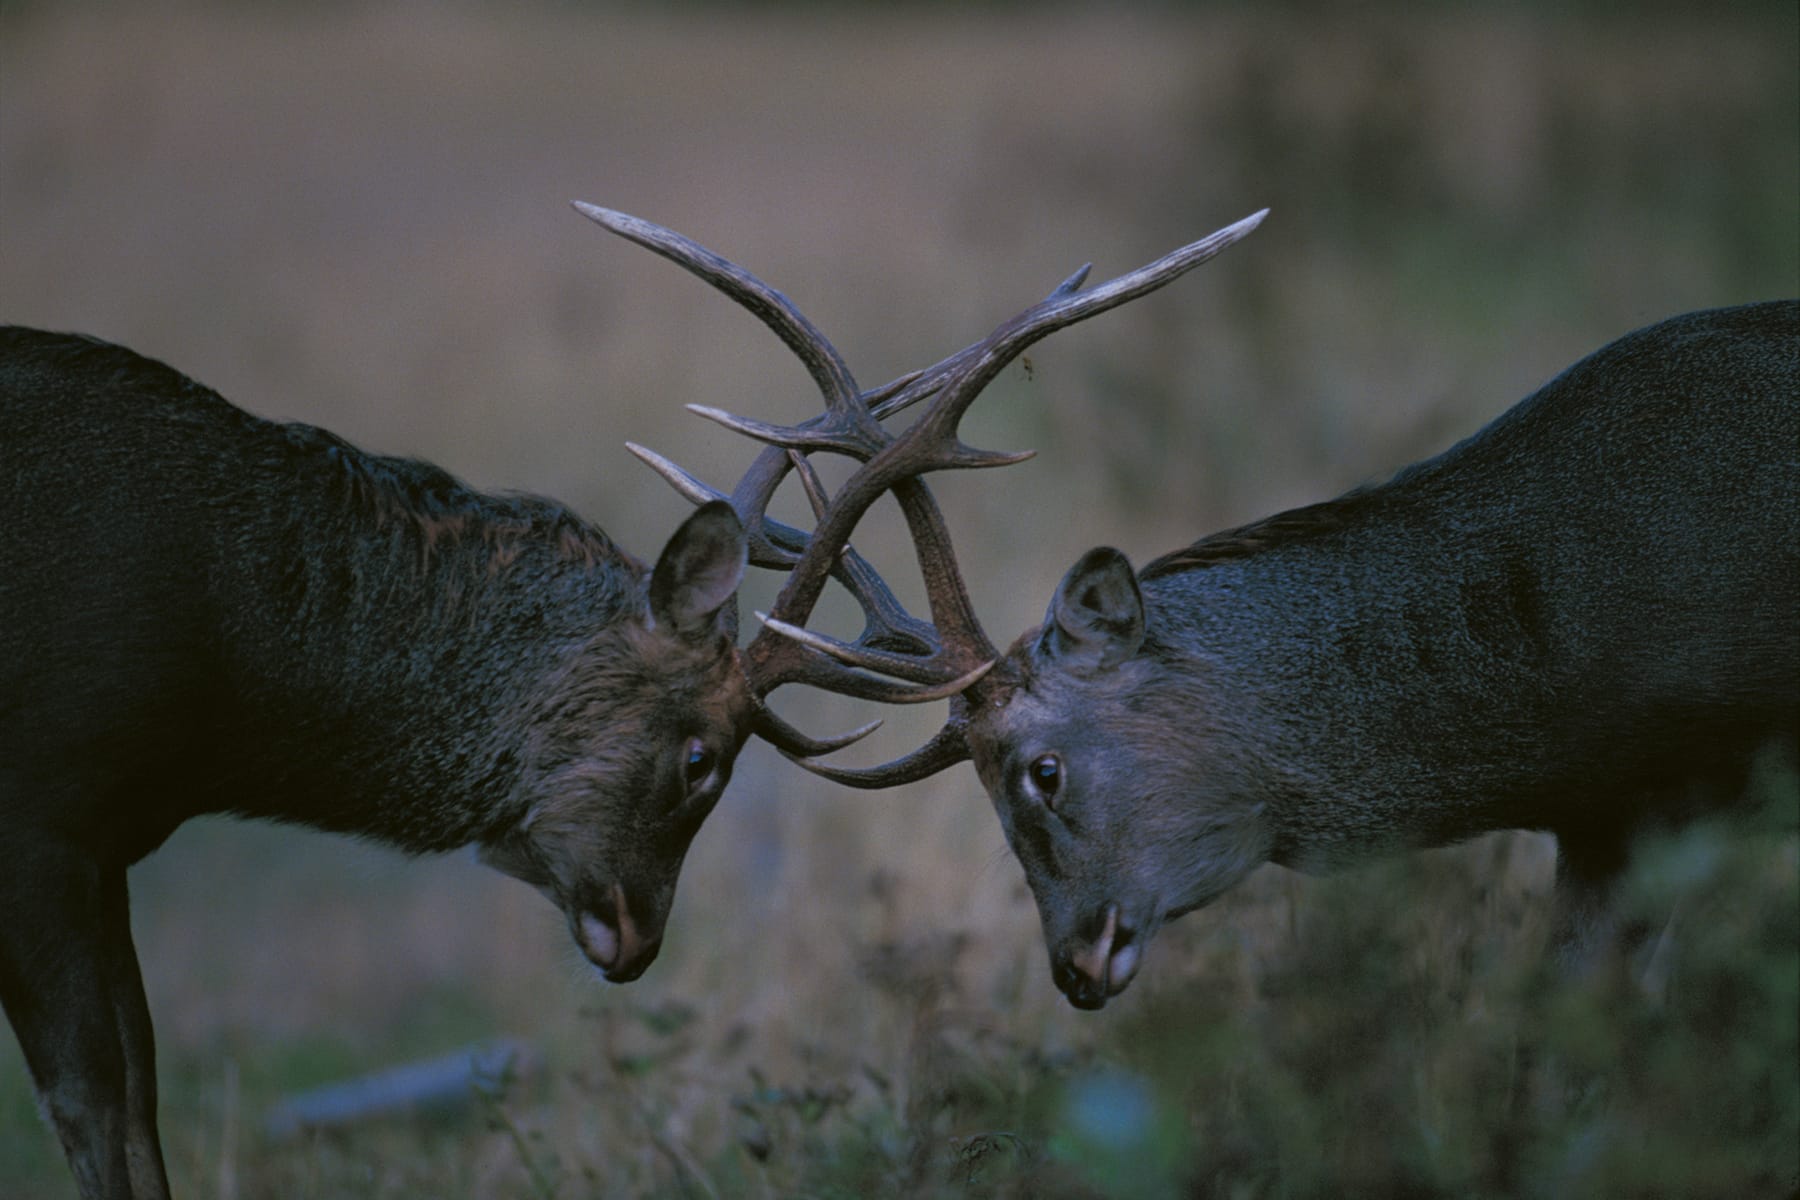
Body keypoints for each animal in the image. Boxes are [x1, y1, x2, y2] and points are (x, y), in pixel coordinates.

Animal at [0, 201, 1267, 1194]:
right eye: (702, 756)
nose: (637, 935)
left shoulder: (98, 845)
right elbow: (94, 1106)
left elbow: (138, 1097)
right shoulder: (40, 821)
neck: (210, 671)